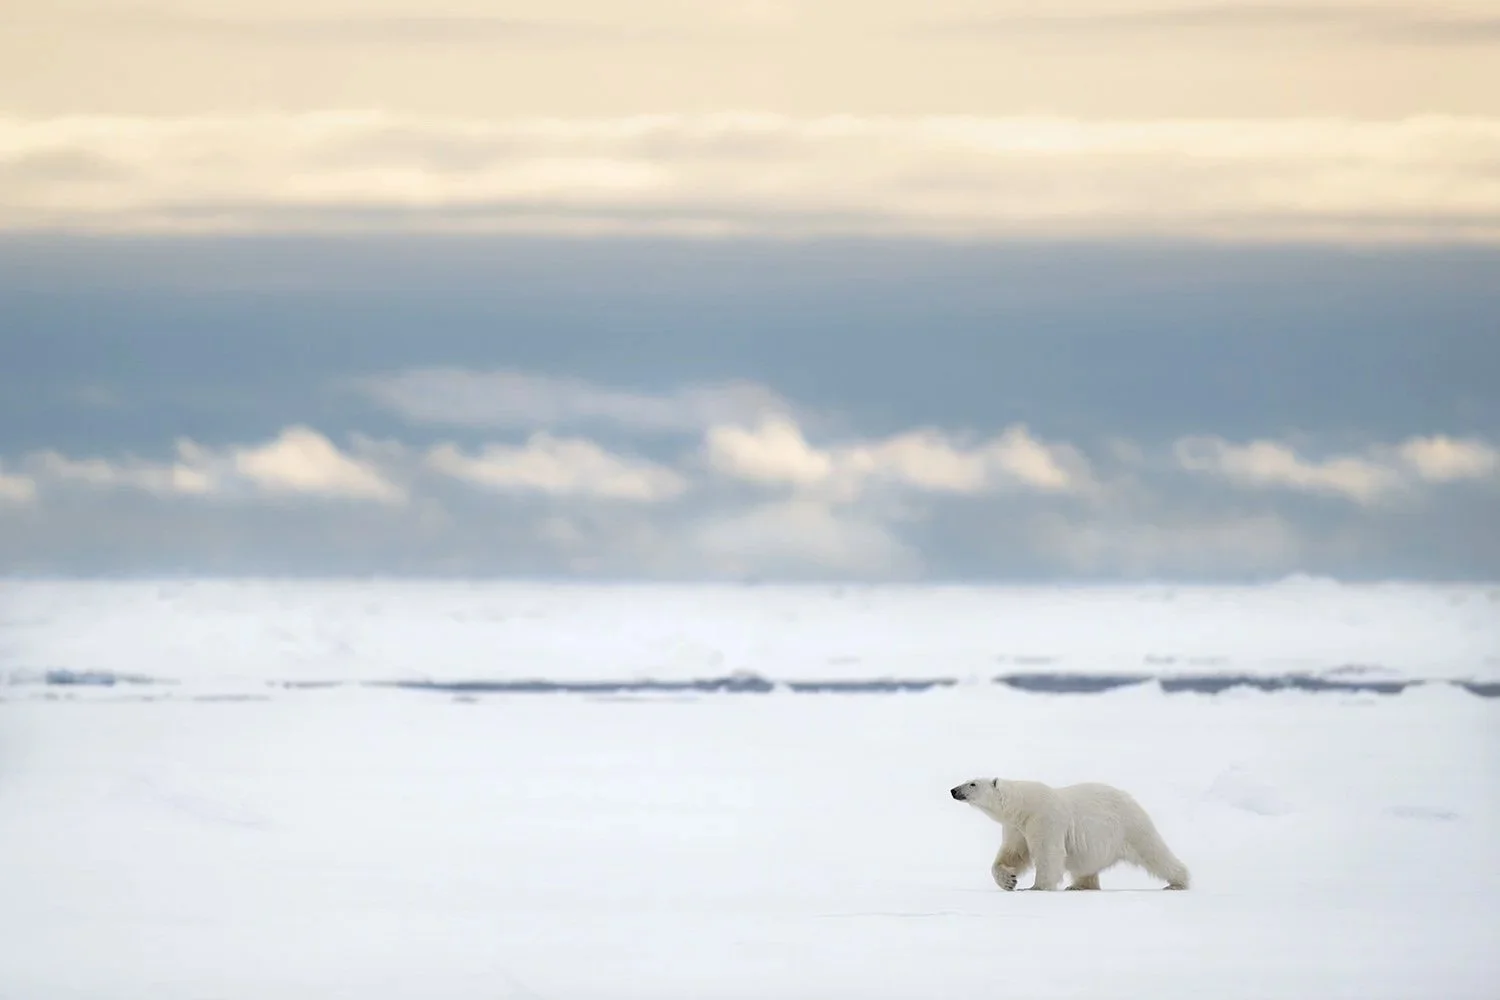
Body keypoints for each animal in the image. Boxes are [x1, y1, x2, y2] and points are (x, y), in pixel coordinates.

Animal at [950, 777, 1190, 891]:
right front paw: (1009, 880)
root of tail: (1131, 799)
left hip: (1129, 826)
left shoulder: (1044, 817)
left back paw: (1178, 882)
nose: (953, 790)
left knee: (1154, 852)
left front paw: (1036, 887)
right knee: (1085, 866)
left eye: (972, 783)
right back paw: (1079, 885)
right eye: (967, 779)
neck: (1022, 806)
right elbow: (1013, 854)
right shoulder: (1017, 827)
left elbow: (1048, 853)